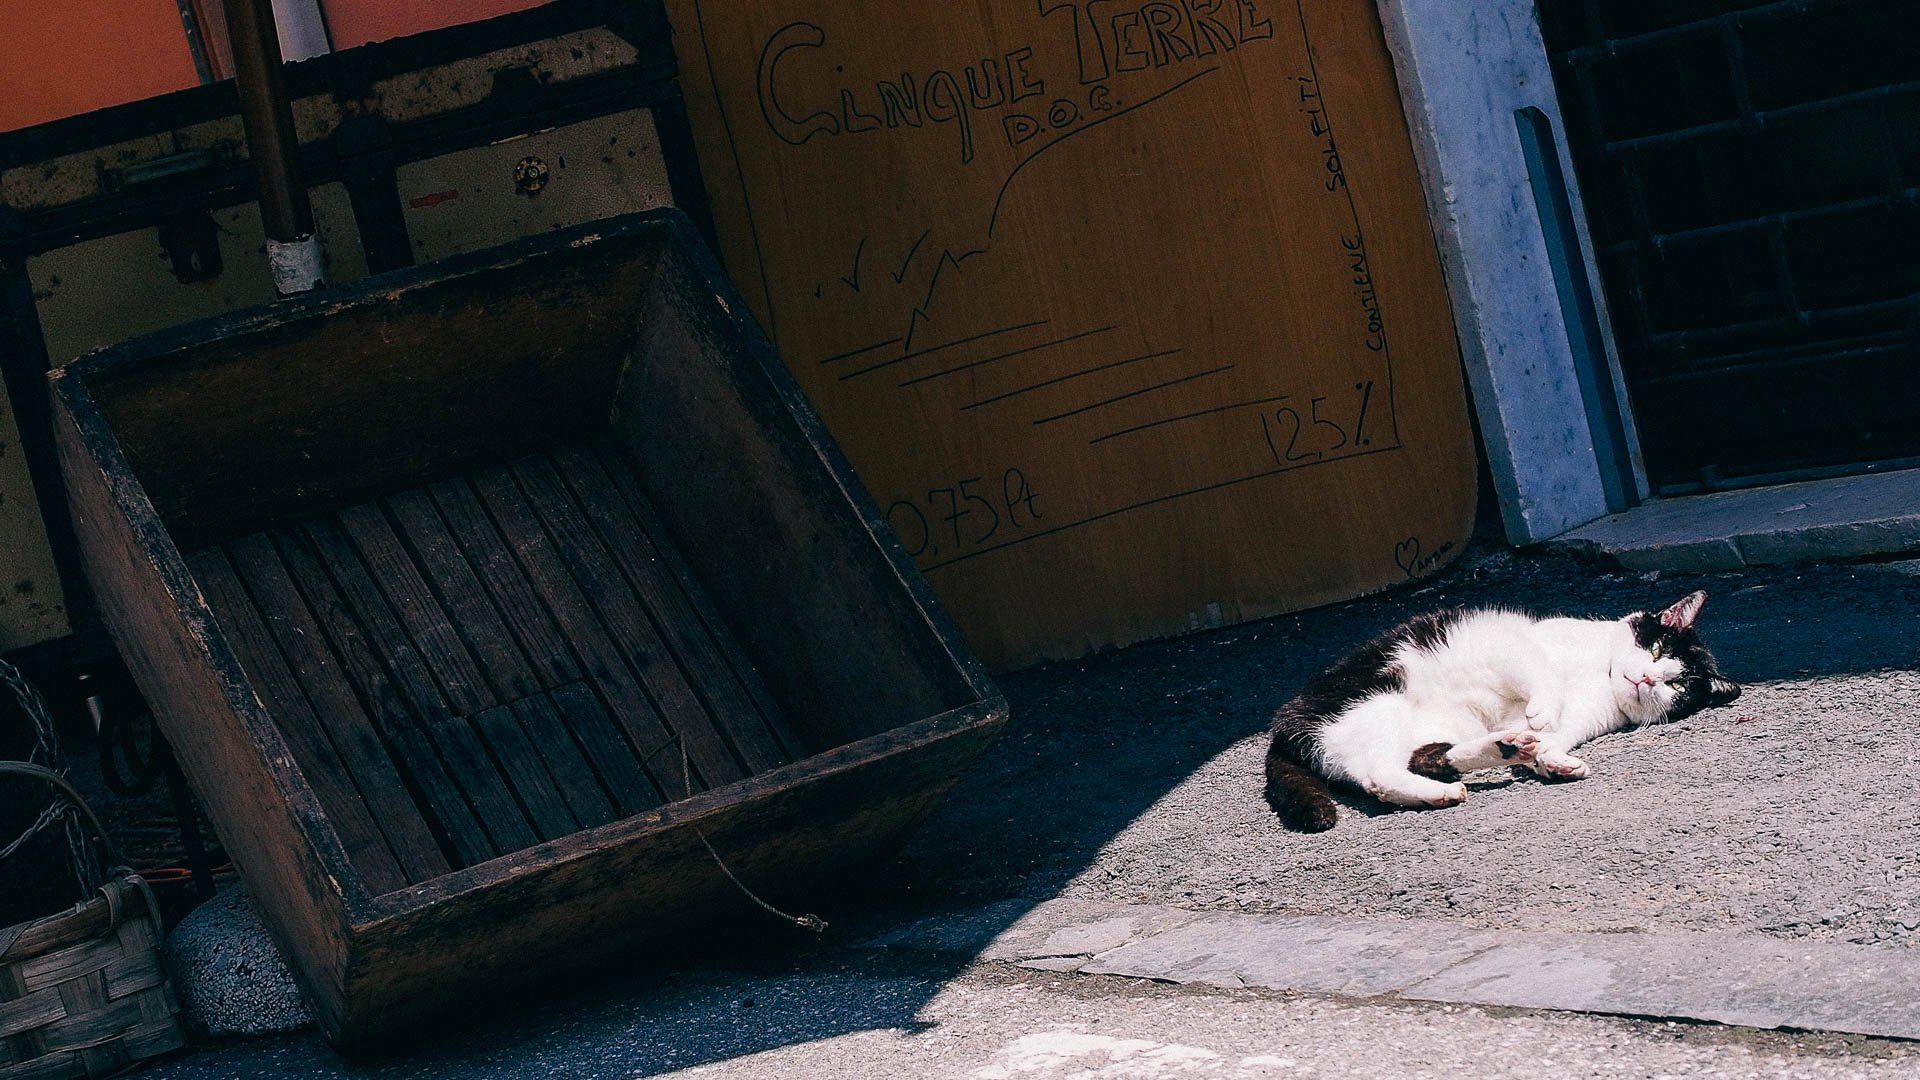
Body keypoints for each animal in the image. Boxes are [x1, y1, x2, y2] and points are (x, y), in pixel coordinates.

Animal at [1259, 588, 1743, 834]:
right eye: (1656, 647)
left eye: (1677, 685)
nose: (1645, 679)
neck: (1598, 675)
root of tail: (1283, 725)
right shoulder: (1511, 643)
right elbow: (1539, 672)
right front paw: (1544, 712)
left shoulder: (1582, 721)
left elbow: (1557, 736)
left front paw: (1552, 759)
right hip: (1377, 701)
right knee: (1377, 775)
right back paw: (1443, 791)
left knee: (1423, 758)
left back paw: (1502, 750)